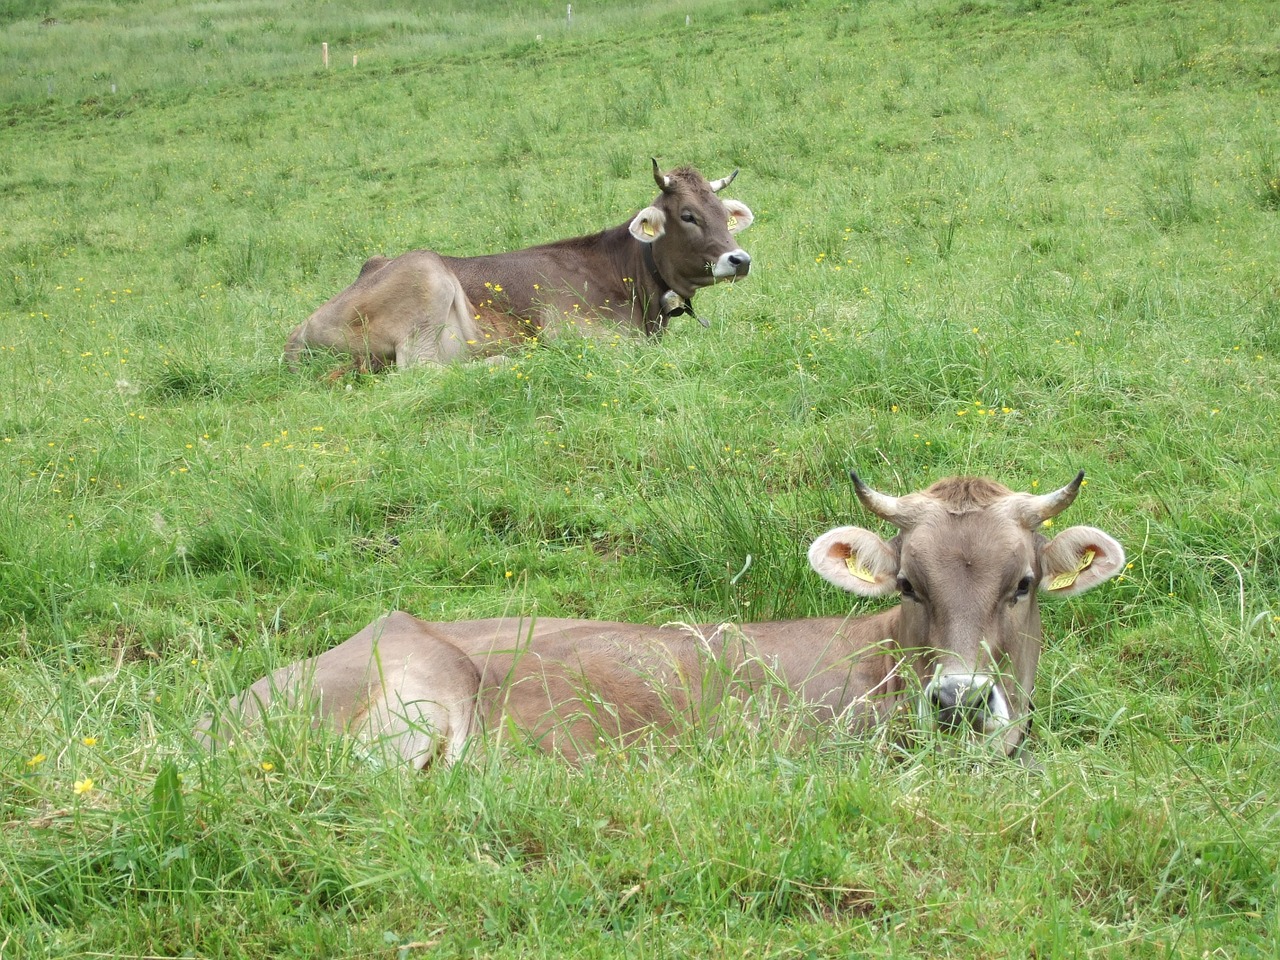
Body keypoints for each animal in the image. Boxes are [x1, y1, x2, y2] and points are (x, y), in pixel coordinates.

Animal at [285, 160, 752, 371]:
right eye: (688, 215)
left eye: (721, 213)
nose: (740, 259)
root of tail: (297, 332)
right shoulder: (584, 333)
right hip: (426, 275)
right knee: (424, 370)